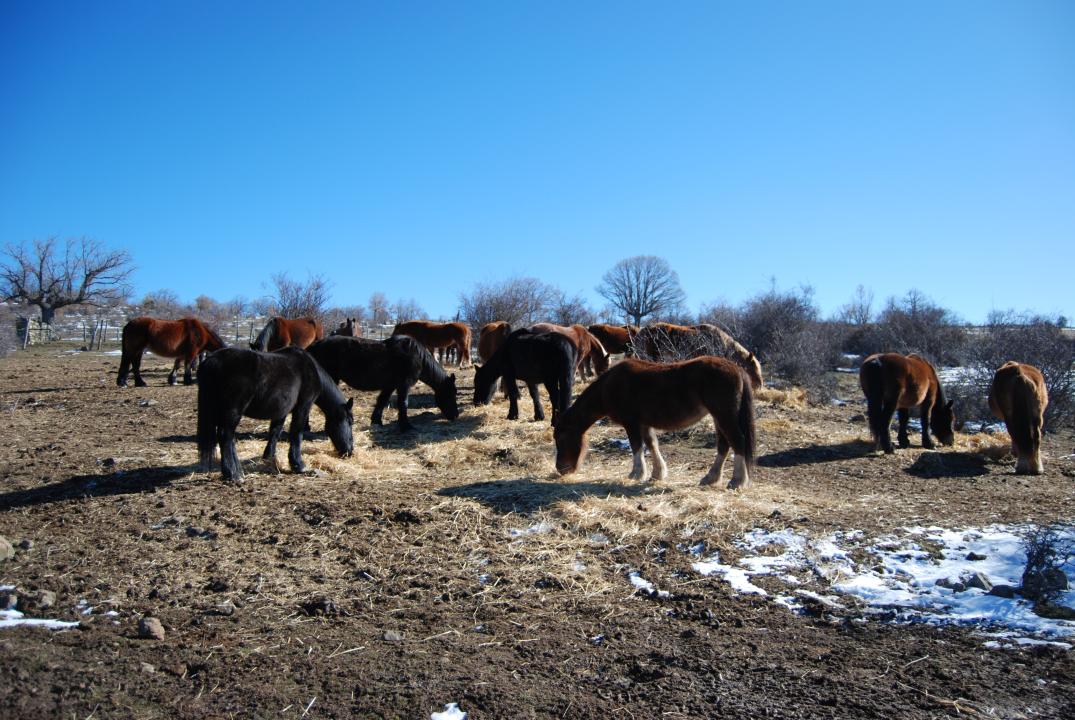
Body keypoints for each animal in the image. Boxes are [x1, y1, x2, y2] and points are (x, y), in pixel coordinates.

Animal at [195, 346, 354, 481]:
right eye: (350, 422)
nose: (350, 451)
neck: (310, 369)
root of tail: (211, 360)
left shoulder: (281, 410)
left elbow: (275, 432)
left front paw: (269, 457)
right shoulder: (303, 407)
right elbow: (297, 433)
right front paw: (298, 465)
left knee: (229, 439)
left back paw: (236, 471)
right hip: (232, 412)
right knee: (225, 436)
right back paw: (233, 475)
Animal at [303, 335, 457, 432]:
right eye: (451, 394)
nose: (455, 415)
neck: (416, 356)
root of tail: (313, 346)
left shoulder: (390, 385)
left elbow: (382, 401)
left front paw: (376, 421)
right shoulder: (404, 384)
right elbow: (403, 403)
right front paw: (406, 426)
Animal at [554, 356, 756, 490]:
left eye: (561, 438)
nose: (561, 469)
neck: (609, 387)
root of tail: (737, 368)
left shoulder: (631, 423)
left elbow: (636, 446)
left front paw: (636, 474)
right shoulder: (644, 424)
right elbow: (652, 445)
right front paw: (657, 474)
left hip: (723, 415)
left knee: (738, 441)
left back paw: (737, 481)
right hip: (718, 417)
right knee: (724, 444)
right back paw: (711, 478)